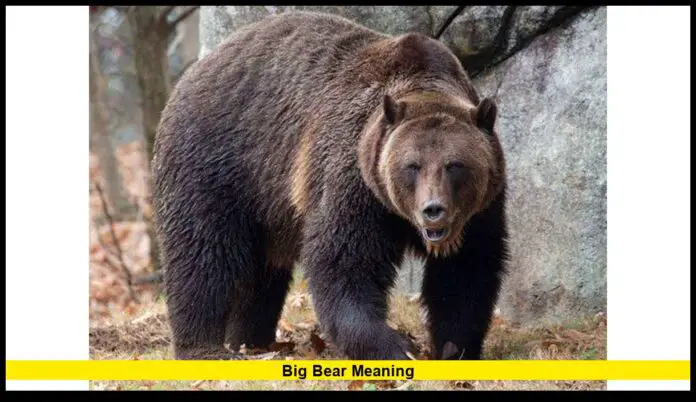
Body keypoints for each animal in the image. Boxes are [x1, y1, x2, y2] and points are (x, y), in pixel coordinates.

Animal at [152, 11, 509, 361]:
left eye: (455, 165)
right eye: (412, 166)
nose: (433, 210)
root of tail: (194, 70)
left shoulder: (481, 209)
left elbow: (467, 271)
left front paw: (454, 347)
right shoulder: (353, 179)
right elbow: (344, 261)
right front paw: (393, 345)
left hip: (265, 205)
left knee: (261, 273)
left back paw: (250, 340)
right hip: (219, 161)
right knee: (203, 252)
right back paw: (203, 347)